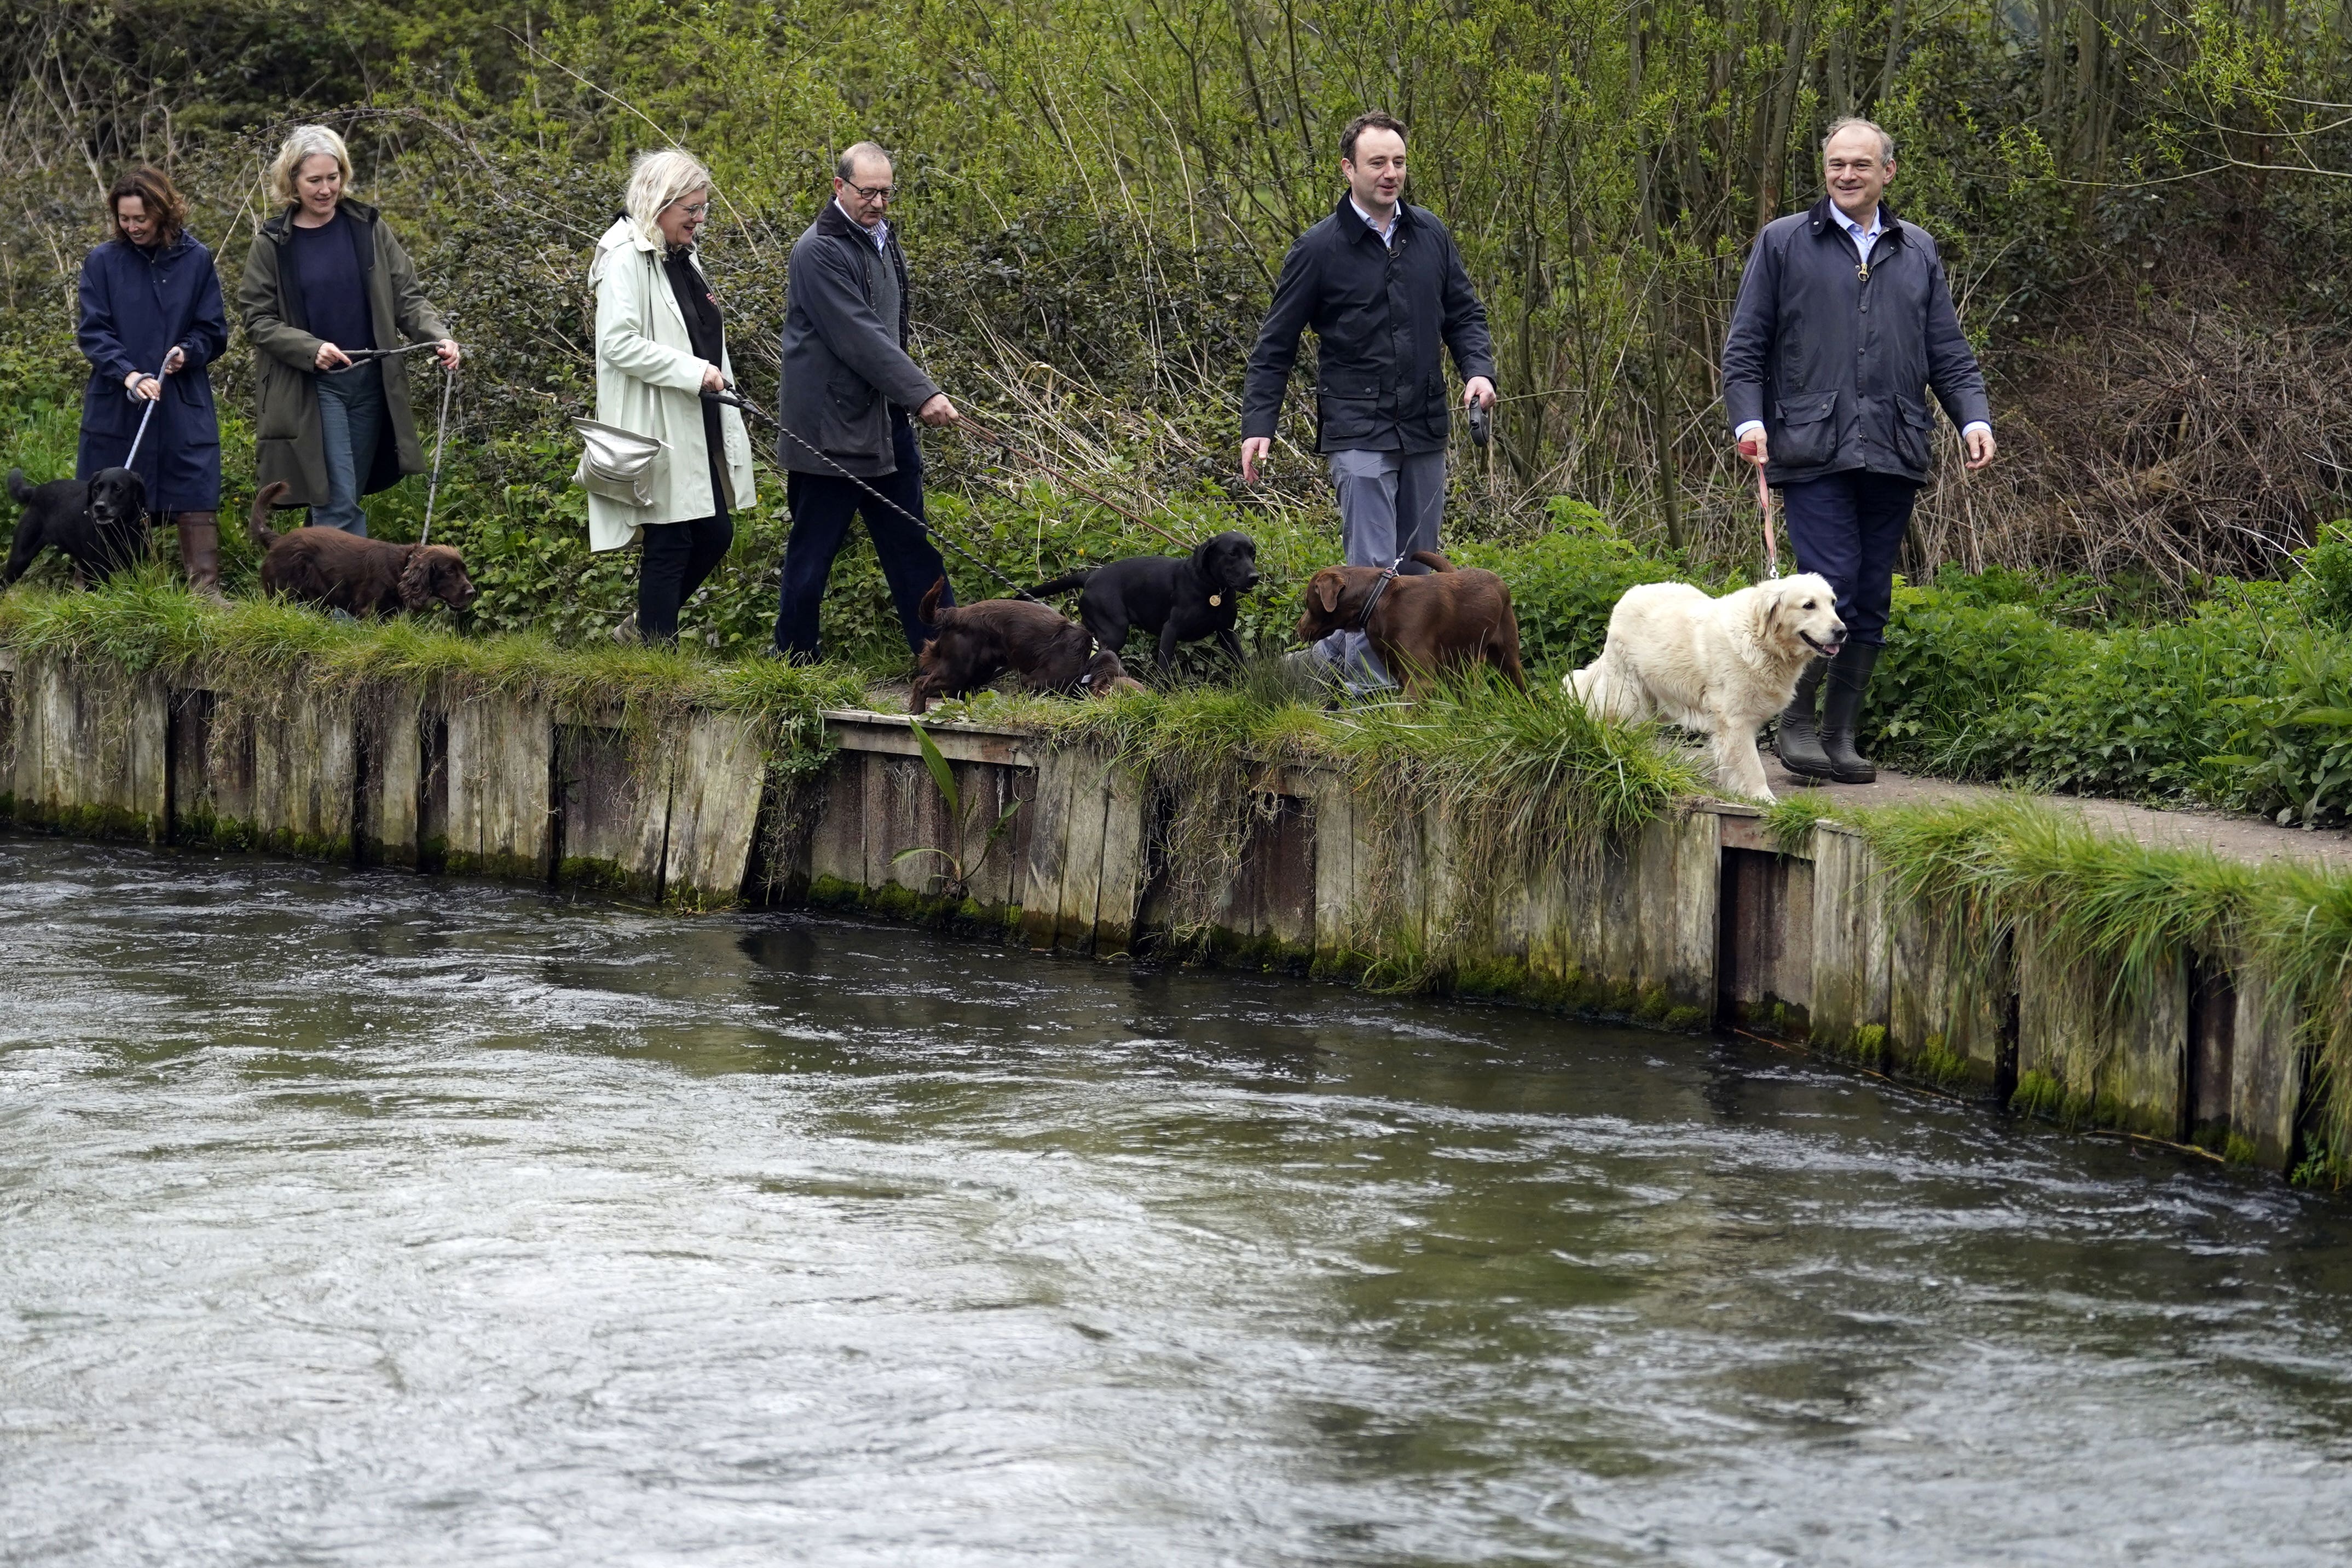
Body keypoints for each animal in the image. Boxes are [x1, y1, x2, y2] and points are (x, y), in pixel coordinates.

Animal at [2, 470, 151, 592]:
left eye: (118, 489)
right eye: (97, 488)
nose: (99, 507)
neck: (120, 529)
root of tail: (36, 490)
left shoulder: (133, 566)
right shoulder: (100, 570)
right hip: (19, 560)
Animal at [1025, 531, 1261, 672]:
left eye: (1253, 553)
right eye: (1232, 553)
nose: (1255, 577)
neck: (1213, 589)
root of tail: (1090, 576)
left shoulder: (1227, 633)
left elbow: (1242, 661)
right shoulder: (1170, 630)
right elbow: (1164, 669)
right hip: (1114, 633)